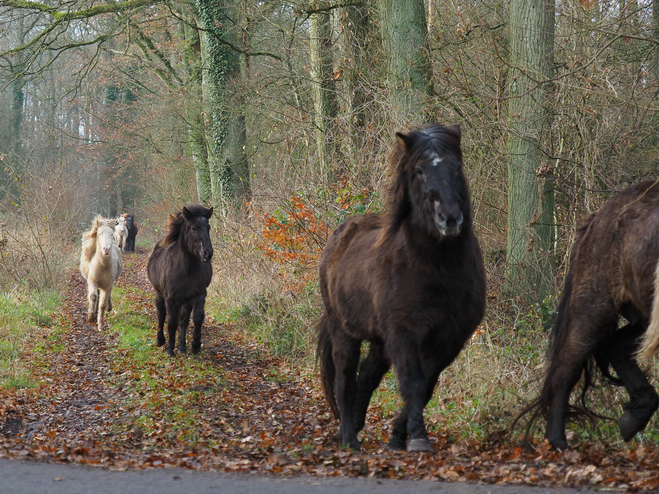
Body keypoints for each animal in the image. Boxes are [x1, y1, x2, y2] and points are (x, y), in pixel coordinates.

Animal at [147, 205, 214, 356]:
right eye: (193, 228)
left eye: (208, 227)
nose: (208, 253)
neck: (186, 270)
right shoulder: (170, 298)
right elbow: (171, 322)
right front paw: (170, 349)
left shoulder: (199, 295)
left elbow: (197, 318)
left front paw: (195, 346)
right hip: (160, 295)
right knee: (161, 315)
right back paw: (160, 340)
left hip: (185, 300)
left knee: (183, 320)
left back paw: (182, 347)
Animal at [318, 123, 488, 452]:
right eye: (419, 170)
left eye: (457, 167)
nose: (449, 218)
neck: (436, 268)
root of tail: (339, 236)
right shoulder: (404, 332)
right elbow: (413, 382)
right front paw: (418, 437)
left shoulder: (449, 338)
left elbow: (428, 385)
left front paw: (398, 437)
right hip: (344, 331)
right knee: (345, 381)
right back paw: (348, 438)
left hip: (380, 342)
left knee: (366, 377)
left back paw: (356, 426)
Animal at [524, 179, 659, 450]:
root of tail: (597, 218)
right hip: (595, 308)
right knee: (566, 367)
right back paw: (557, 440)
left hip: (640, 316)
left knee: (615, 346)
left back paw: (636, 415)